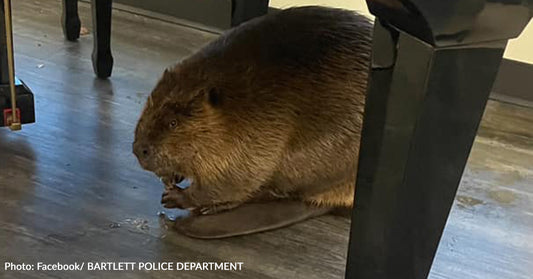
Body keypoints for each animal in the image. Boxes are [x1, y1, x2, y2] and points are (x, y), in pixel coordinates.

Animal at [133, 6, 372, 238]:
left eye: (173, 123)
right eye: (148, 106)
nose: (139, 150)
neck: (235, 102)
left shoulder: (255, 137)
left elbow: (230, 182)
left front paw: (173, 196)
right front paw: (170, 178)